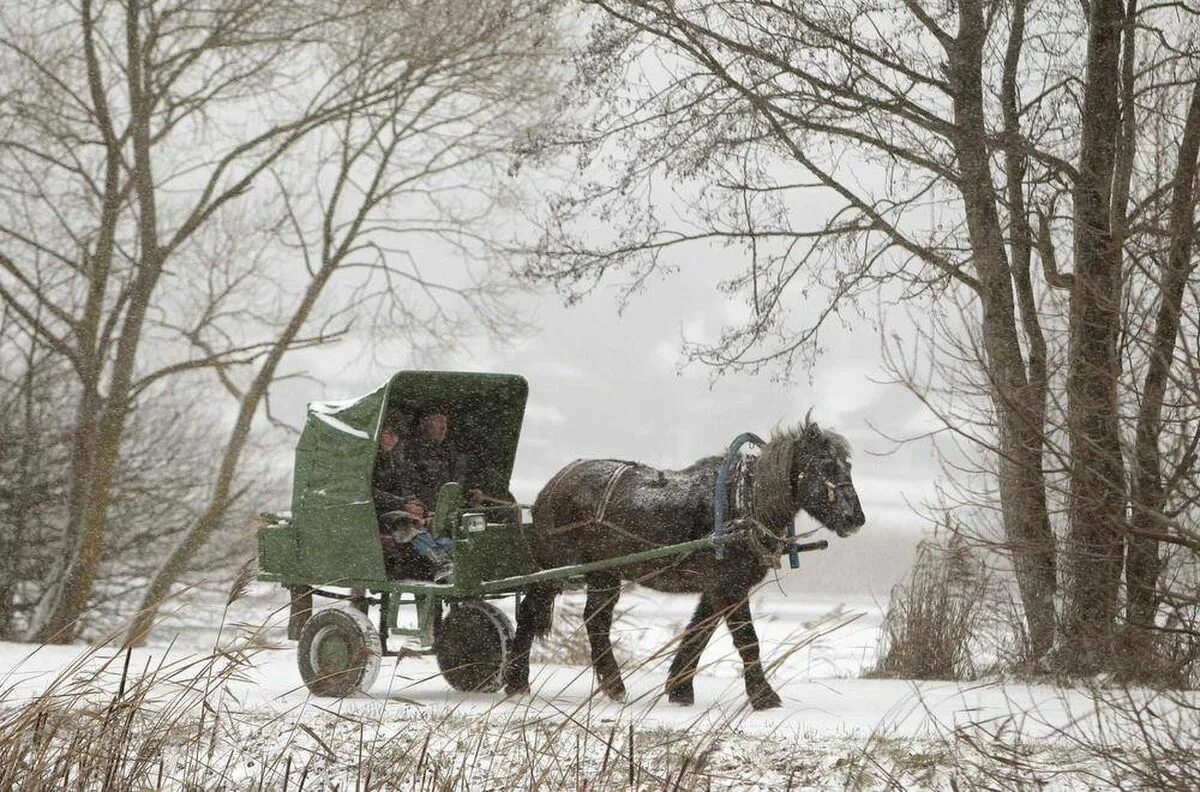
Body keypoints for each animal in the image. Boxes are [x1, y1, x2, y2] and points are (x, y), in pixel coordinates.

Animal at [504, 415, 864, 710]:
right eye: (825, 467)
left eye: (847, 466)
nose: (856, 519)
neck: (743, 504)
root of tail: (554, 484)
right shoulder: (729, 587)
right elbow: (747, 641)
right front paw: (764, 697)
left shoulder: (716, 589)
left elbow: (697, 634)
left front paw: (679, 689)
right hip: (556, 570)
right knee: (531, 612)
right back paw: (517, 682)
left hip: (604, 572)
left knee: (596, 621)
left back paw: (613, 687)